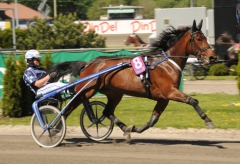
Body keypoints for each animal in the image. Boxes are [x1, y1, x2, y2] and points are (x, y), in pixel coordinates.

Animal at [48, 19, 218, 136]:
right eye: (198, 39)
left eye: (205, 38)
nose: (212, 57)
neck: (167, 63)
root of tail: (89, 63)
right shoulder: (170, 92)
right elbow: (193, 100)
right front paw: (208, 120)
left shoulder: (163, 98)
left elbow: (153, 120)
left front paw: (136, 128)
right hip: (86, 91)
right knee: (69, 107)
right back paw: (54, 129)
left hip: (115, 93)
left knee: (107, 112)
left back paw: (126, 128)